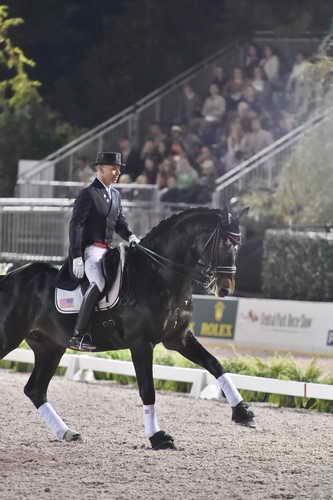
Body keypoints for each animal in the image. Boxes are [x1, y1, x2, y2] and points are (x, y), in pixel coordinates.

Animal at [0, 206, 254, 450]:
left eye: (238, 245)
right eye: (225, 243)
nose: (225, 288)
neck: (158, 275)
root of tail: (9, 278)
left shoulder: (178, 337)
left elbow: (215, 364)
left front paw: (242, 412)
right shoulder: (141, 343)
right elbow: (147, 389)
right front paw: (158, 437)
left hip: (50, 347)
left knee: (35, 389)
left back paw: (67, 432)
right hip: (9, 339)